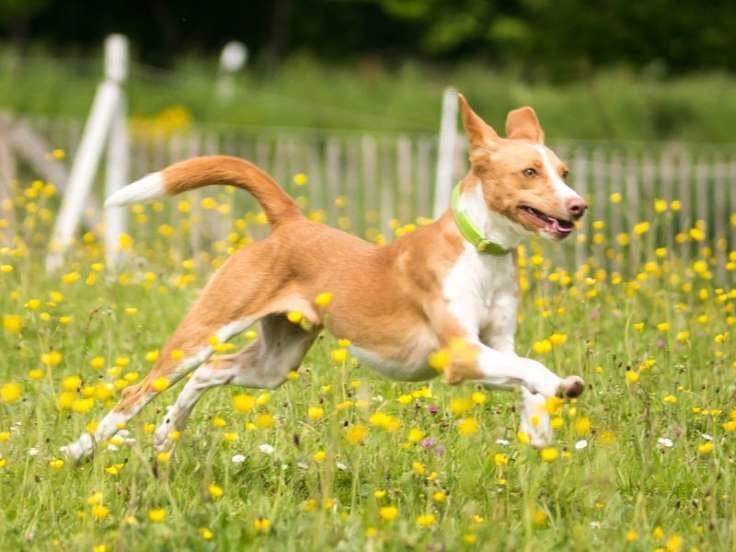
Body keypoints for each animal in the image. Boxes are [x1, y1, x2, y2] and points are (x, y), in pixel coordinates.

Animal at [64, 95, 592, 462]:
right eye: (530, 172)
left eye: (564, 171)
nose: (578, 206)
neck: (482, 251)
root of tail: (290, 223)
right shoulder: (460, 353)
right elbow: (531, 369)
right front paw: (561, 387)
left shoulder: (497, 343)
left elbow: (521, 374)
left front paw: (538, 428)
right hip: (204, 329)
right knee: (136, 393)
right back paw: (77, 452)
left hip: (276, 361)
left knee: (211, 372)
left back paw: (166, 434)